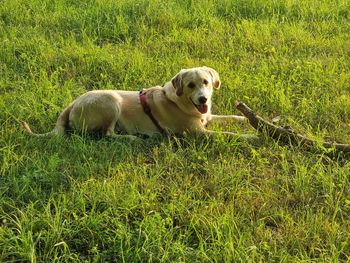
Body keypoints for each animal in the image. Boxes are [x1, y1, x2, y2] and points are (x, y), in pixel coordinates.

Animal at [23, 67, 250, 139]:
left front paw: (249, 120)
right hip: (111, 100)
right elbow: (230, 134)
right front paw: (252, 137)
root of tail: (71, 104)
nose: (203, 99)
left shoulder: (207, 117)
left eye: (205, 82)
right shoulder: (198, 132)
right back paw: (133, 138)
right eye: (190, 85)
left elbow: (233, 117)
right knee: (107, 134)